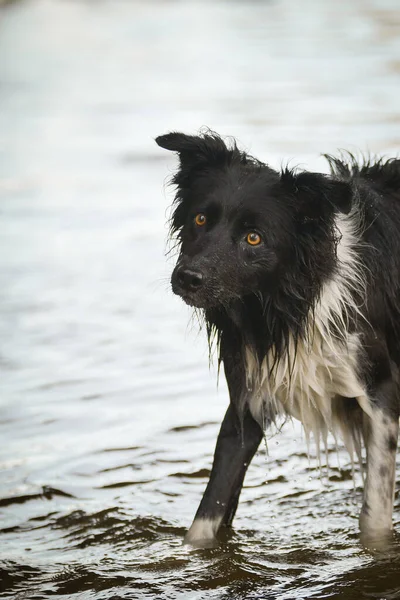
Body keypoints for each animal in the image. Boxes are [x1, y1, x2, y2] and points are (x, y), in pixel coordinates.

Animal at [155, 131, 398, 544]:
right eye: (200, 218)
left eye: (254, 238)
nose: (187, 278)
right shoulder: (246, 401)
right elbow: (207, 515)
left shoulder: (381, 396)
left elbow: (374, 517)